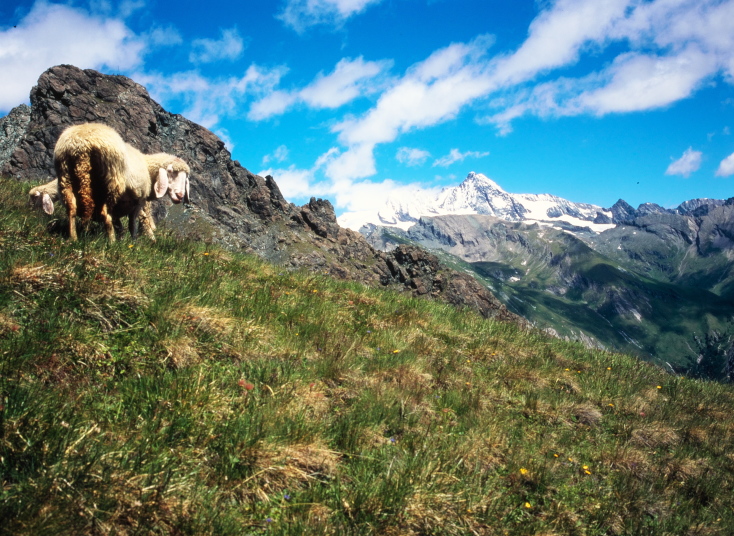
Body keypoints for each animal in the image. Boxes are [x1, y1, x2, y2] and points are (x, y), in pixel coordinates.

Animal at [53, 123, 190, 242]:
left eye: (185, 178)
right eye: (170, 172)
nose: (180, 196)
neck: (147, 167)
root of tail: (82, 144)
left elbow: (121, 226)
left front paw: (123, 240)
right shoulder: (139, 201)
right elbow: (133, 225)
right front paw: (134, 242)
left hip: (65, 176)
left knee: (72, 208)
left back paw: (74, 238)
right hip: (113, 183)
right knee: (105, 213)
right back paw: (111, 242)